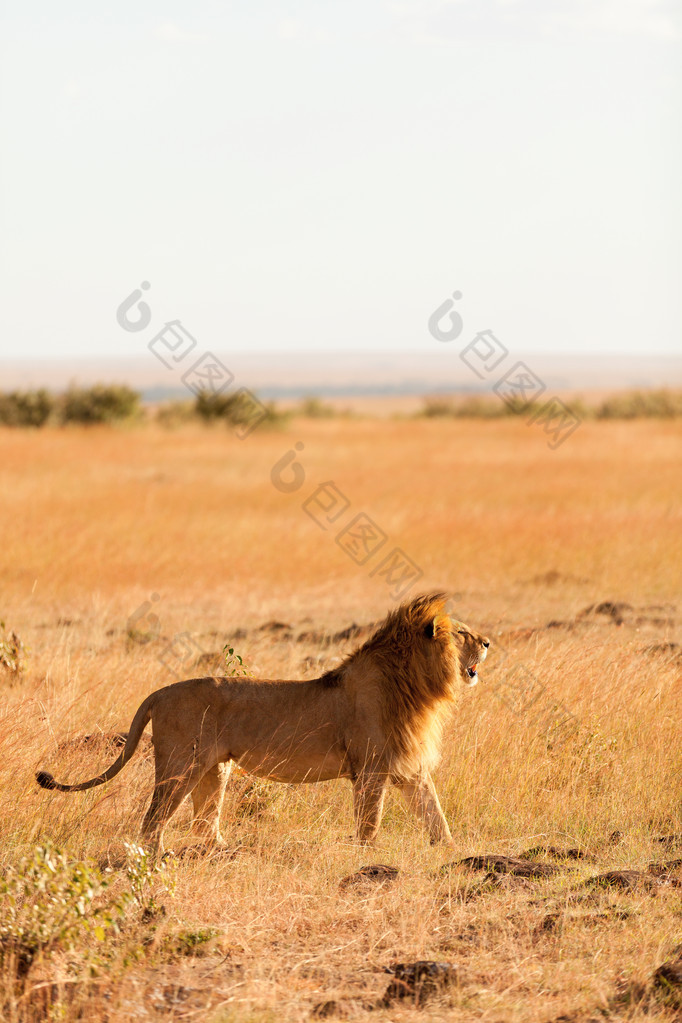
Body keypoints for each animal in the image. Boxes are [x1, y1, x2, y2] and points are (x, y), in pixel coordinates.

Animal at [37, 597, 488, 851]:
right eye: (462, 632)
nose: (488, 642)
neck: (417, 687)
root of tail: (159, 693)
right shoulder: (372, 768)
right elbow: (370, 822)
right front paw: (368, 858)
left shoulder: (410, 769)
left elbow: (436, 815)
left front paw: (451, 851)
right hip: (181, 766)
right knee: (153, 822)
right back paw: (157, 858)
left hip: (214, 770)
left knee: (204, 824)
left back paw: (224, 851)